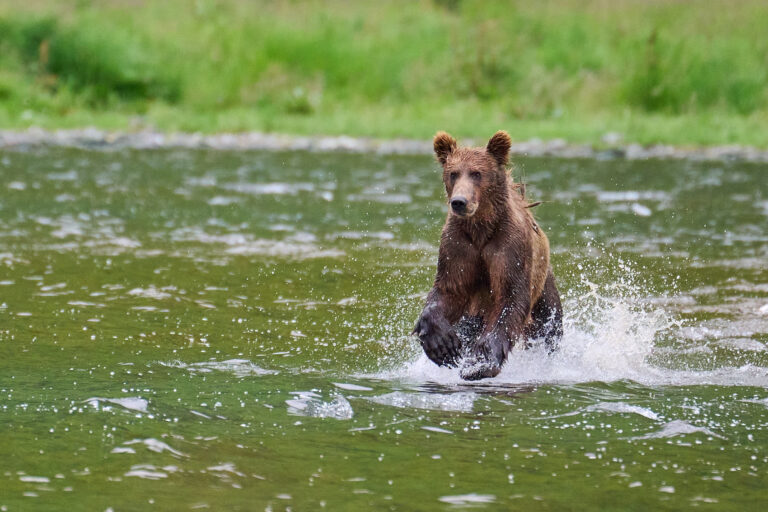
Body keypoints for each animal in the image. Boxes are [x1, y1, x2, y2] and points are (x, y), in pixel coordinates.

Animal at [412, 130, 563, 381]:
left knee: (548, 328)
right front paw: (442, 345)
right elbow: (449, 289)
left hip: (543, 289)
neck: (481, 228)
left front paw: (480, 362)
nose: (459, 202)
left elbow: (510, 298)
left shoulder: (509, 245)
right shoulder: (459, 245)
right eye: (453, 173)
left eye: (477, 173)